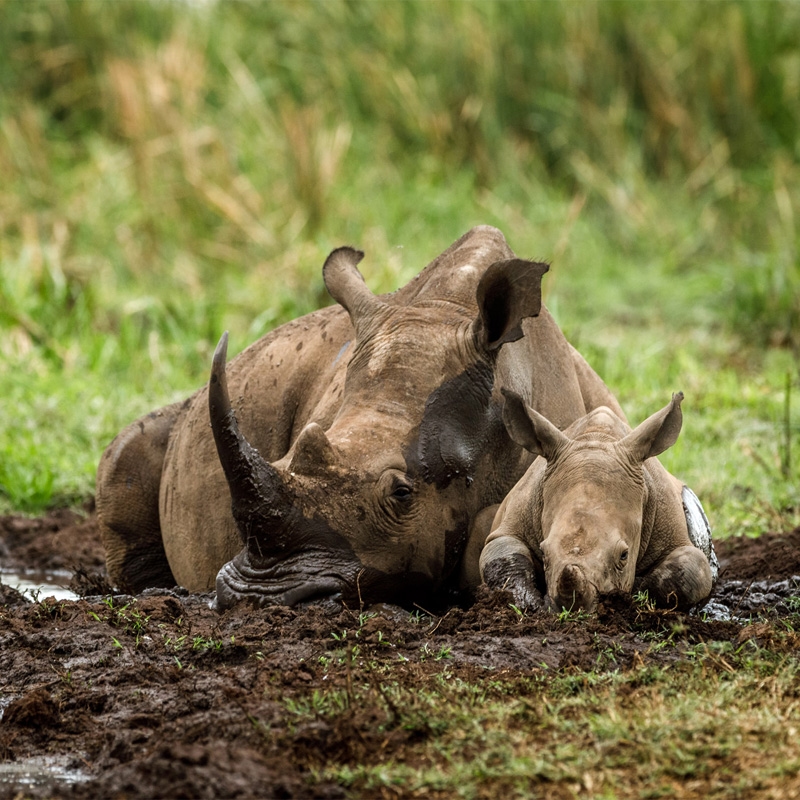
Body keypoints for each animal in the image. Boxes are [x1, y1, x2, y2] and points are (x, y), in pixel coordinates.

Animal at [482, 390, 720, 612]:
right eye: (543, 553)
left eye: (624, 556)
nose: (572, 610)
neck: (597, 437)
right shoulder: (514, 519)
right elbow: (499, 553)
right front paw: (529, 604)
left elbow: (687, 572)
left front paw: (633, 592)